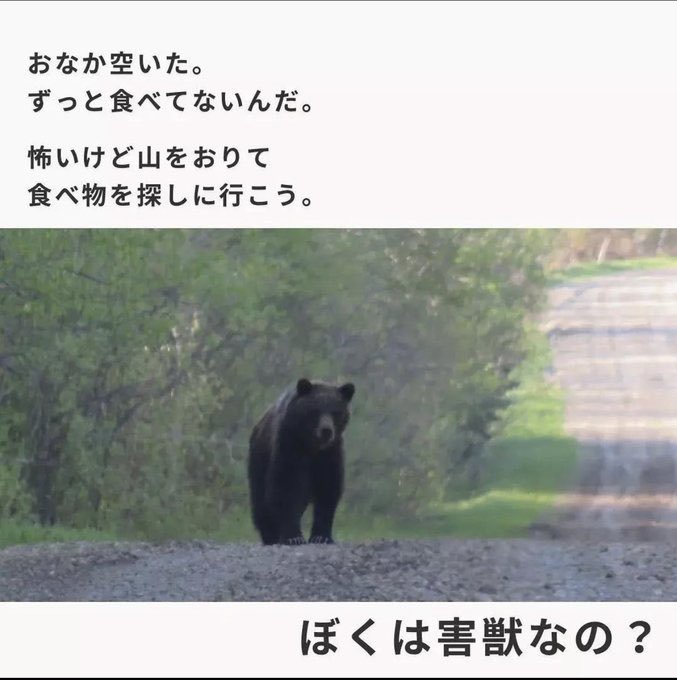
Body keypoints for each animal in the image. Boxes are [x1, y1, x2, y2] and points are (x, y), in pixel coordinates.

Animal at [247, 378, 355, 545]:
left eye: (336, 412)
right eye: (316, 410)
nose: (326, 431)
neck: (312, 447)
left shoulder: (330, 454)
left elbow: (328, 490)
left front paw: (321, 536)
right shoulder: (289, 447)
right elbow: (286, 489)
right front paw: (293, 537)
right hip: (258, 461)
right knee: (261, 503)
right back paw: (270, 536)